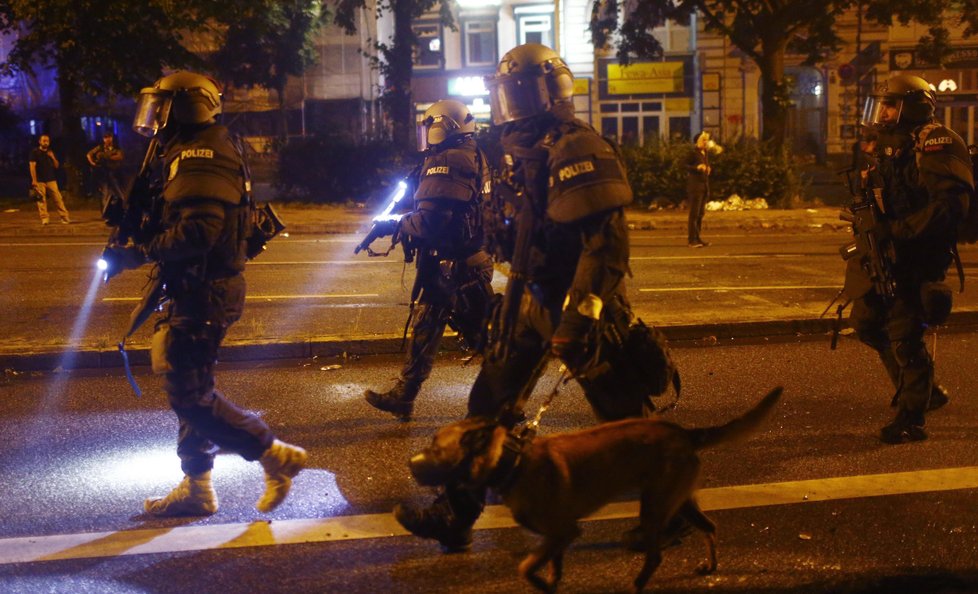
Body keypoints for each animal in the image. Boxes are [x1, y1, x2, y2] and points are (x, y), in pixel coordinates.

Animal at [408, 386, 780, 588]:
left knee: (656, 555)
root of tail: (685, 432)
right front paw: (551, 584)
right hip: (680, 500)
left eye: (436, 448)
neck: (512, 462)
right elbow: (553, 567)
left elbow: (526, 567)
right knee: (709, 527)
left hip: (654, 506)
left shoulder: (563, 531)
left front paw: (539, 582)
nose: (411, 463)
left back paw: (638, 584)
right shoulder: (557, 539)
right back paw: (710, 566)